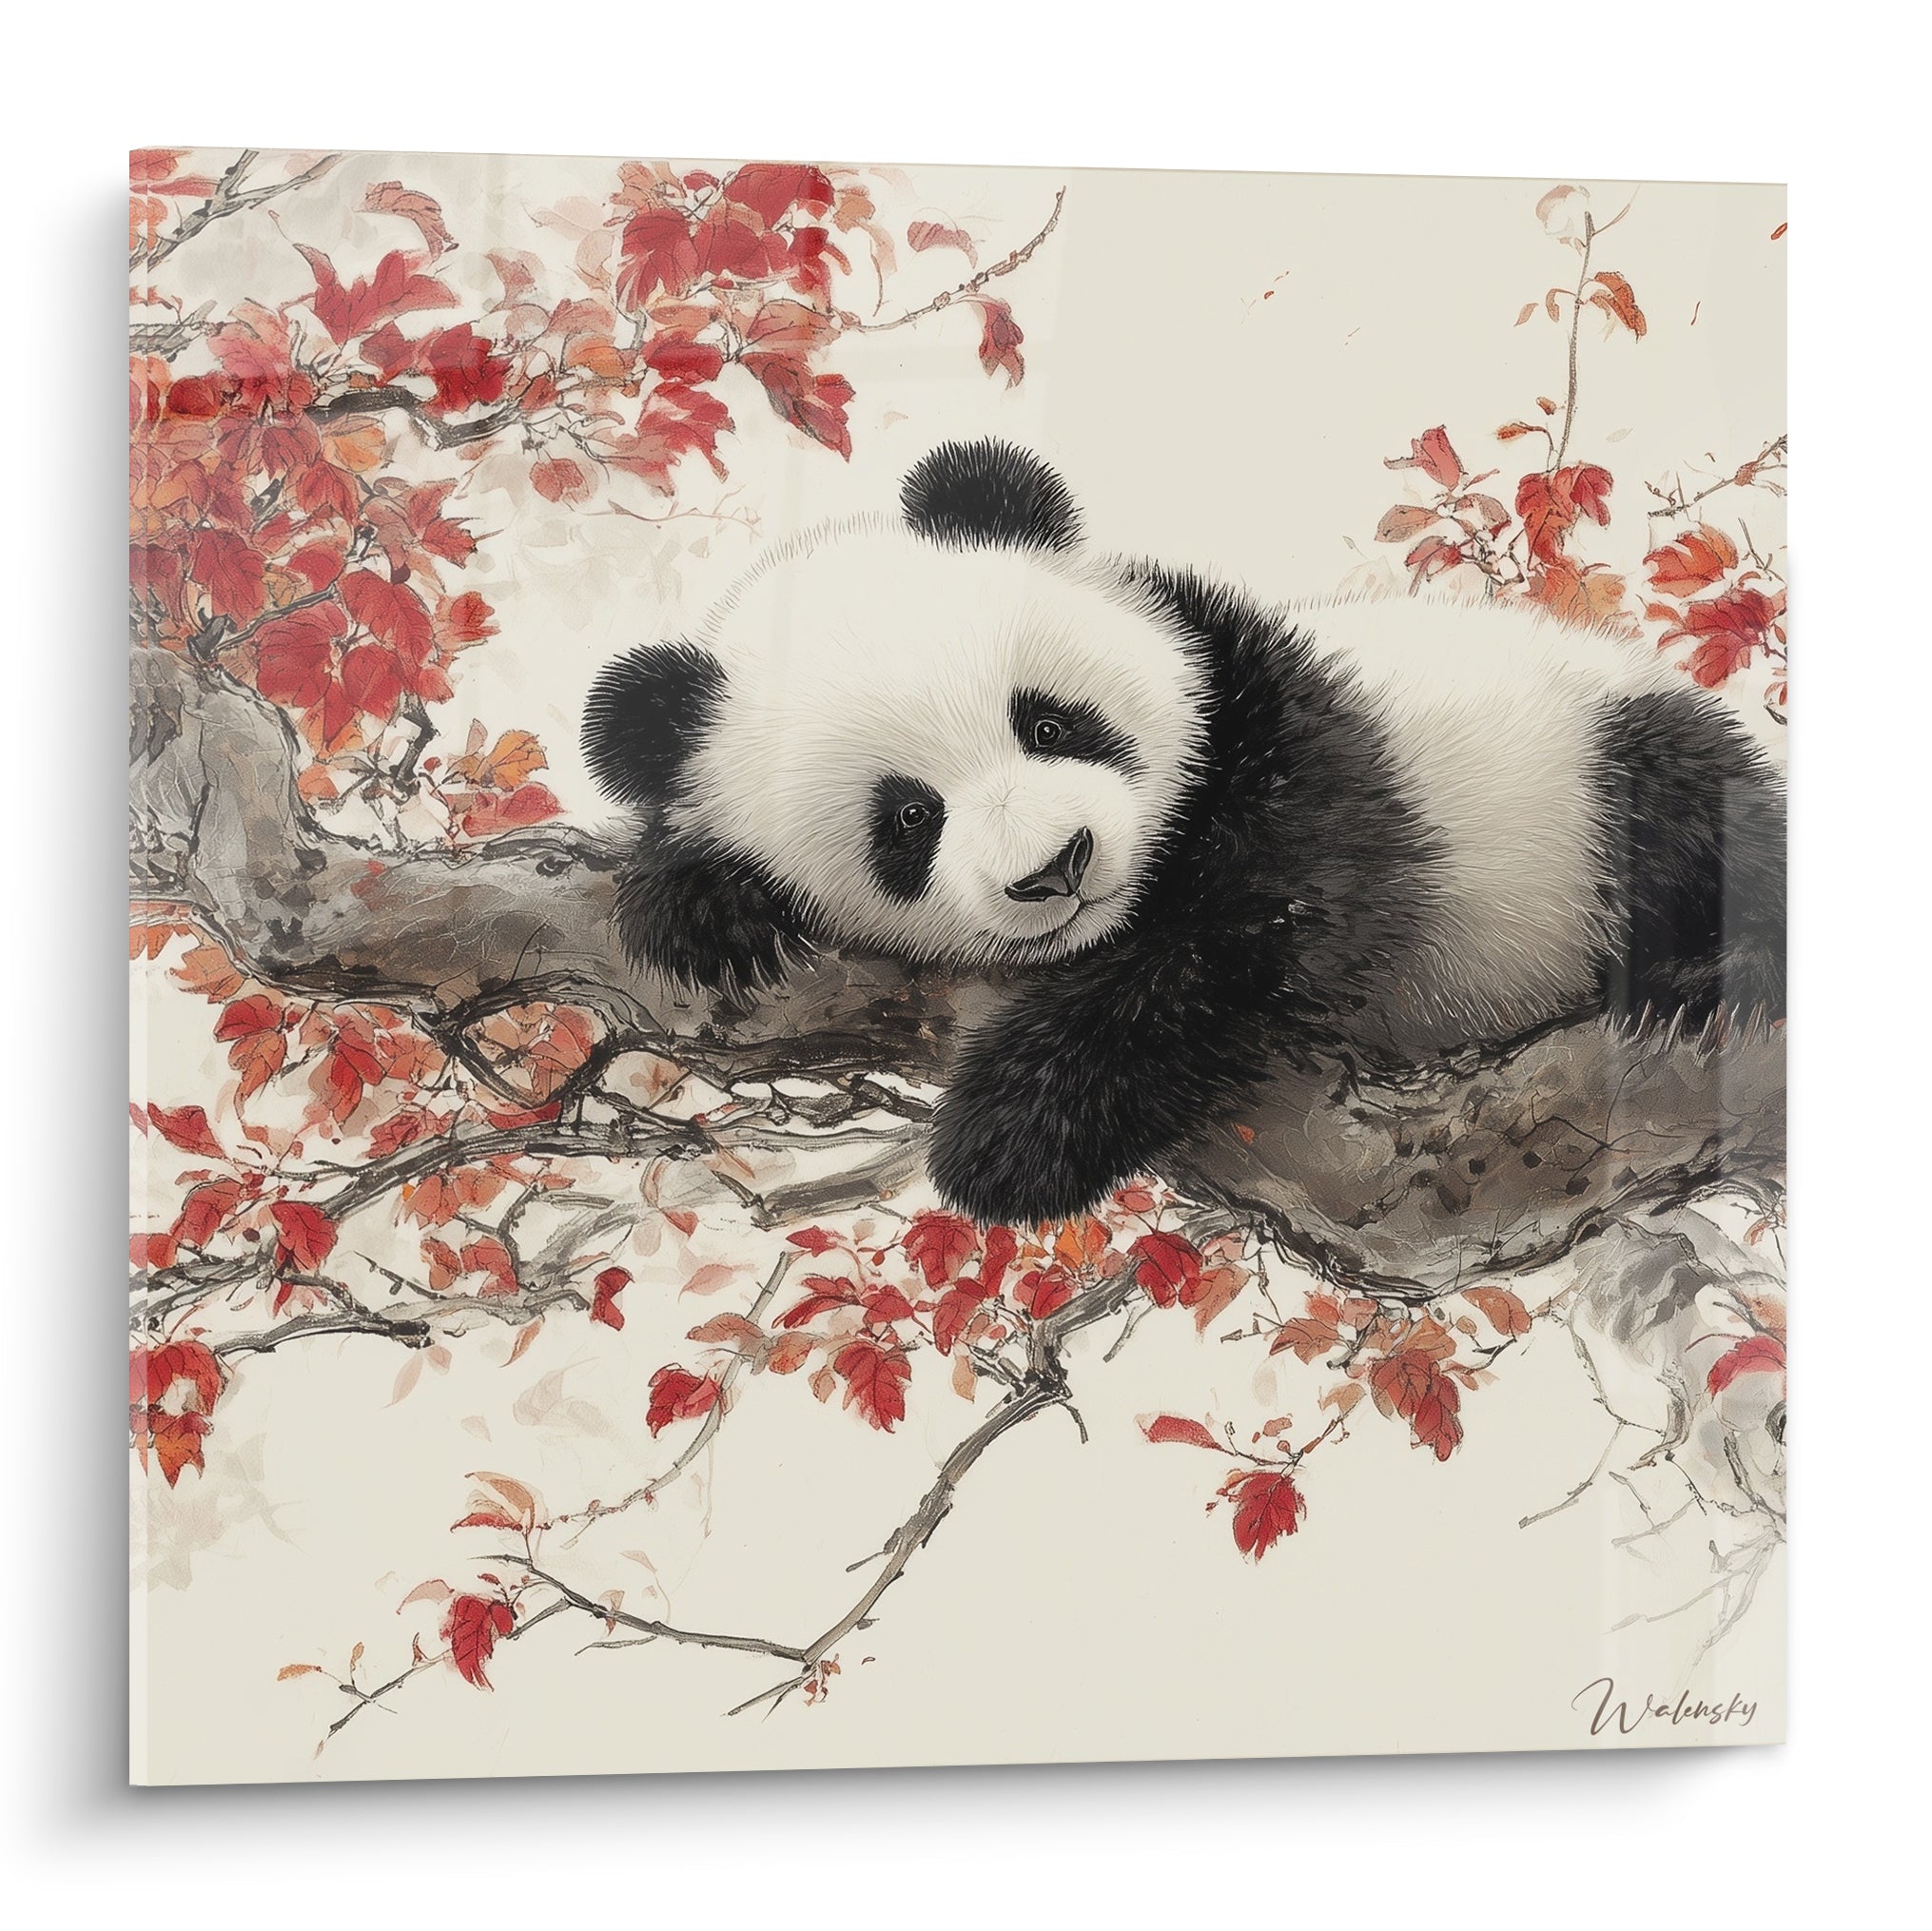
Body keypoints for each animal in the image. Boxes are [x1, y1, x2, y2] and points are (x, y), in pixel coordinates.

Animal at [582, 439, 1785, 1226]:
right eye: (910, 815)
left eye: (1050, 720)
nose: (1057, 869)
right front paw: (704, 904)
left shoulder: (1284, 731)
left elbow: (1251, 929)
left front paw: (1009, 1132)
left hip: (1588, 752)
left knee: (1701, 813)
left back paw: (1710, 979)